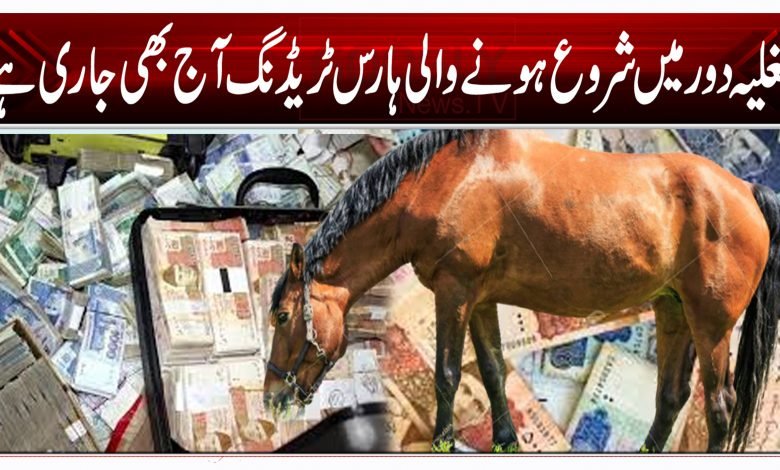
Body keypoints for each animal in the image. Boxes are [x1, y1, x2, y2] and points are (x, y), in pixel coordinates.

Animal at [262, 129, 780, 453]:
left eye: (283, 317)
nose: (272, 396)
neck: (448, 179)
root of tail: (745, 190)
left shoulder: (454, 292)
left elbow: (447, 373)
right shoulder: (481, 299)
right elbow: (492, 372)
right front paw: (505, 440)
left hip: (712, 325)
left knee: (719, 406)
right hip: (675, 312)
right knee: (671, 397)